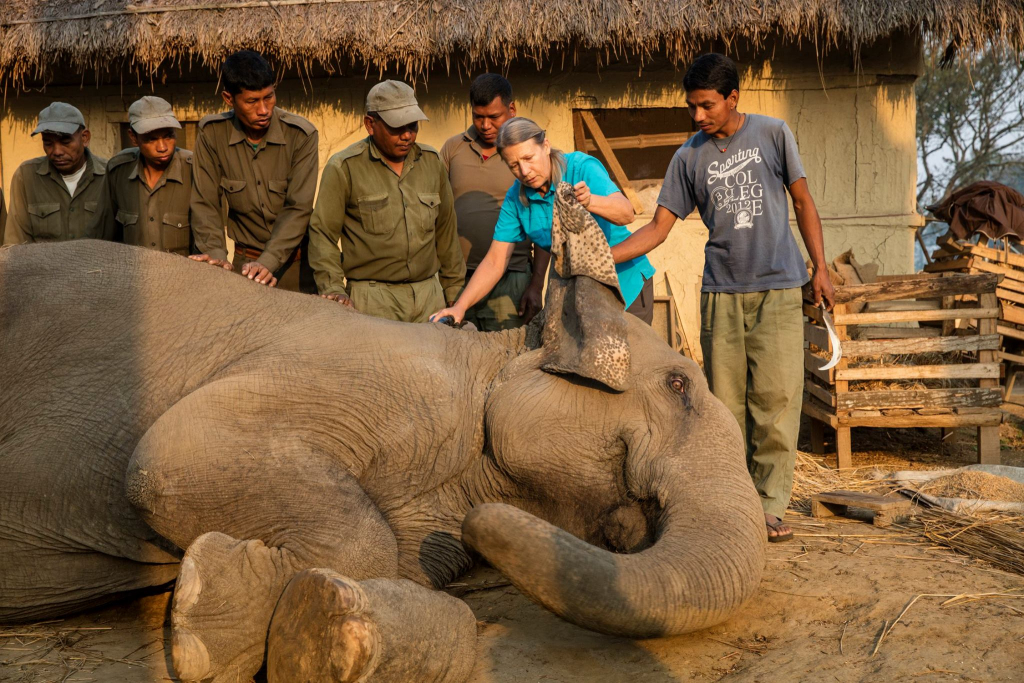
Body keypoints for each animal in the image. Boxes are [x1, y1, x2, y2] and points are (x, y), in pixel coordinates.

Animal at [0, 185, 770, 683]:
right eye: (679, 386)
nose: (489, 522)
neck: (490, 354)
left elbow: (414, 579)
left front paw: (277, 615)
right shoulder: (362, 374)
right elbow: (173, 454)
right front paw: (205, 622)